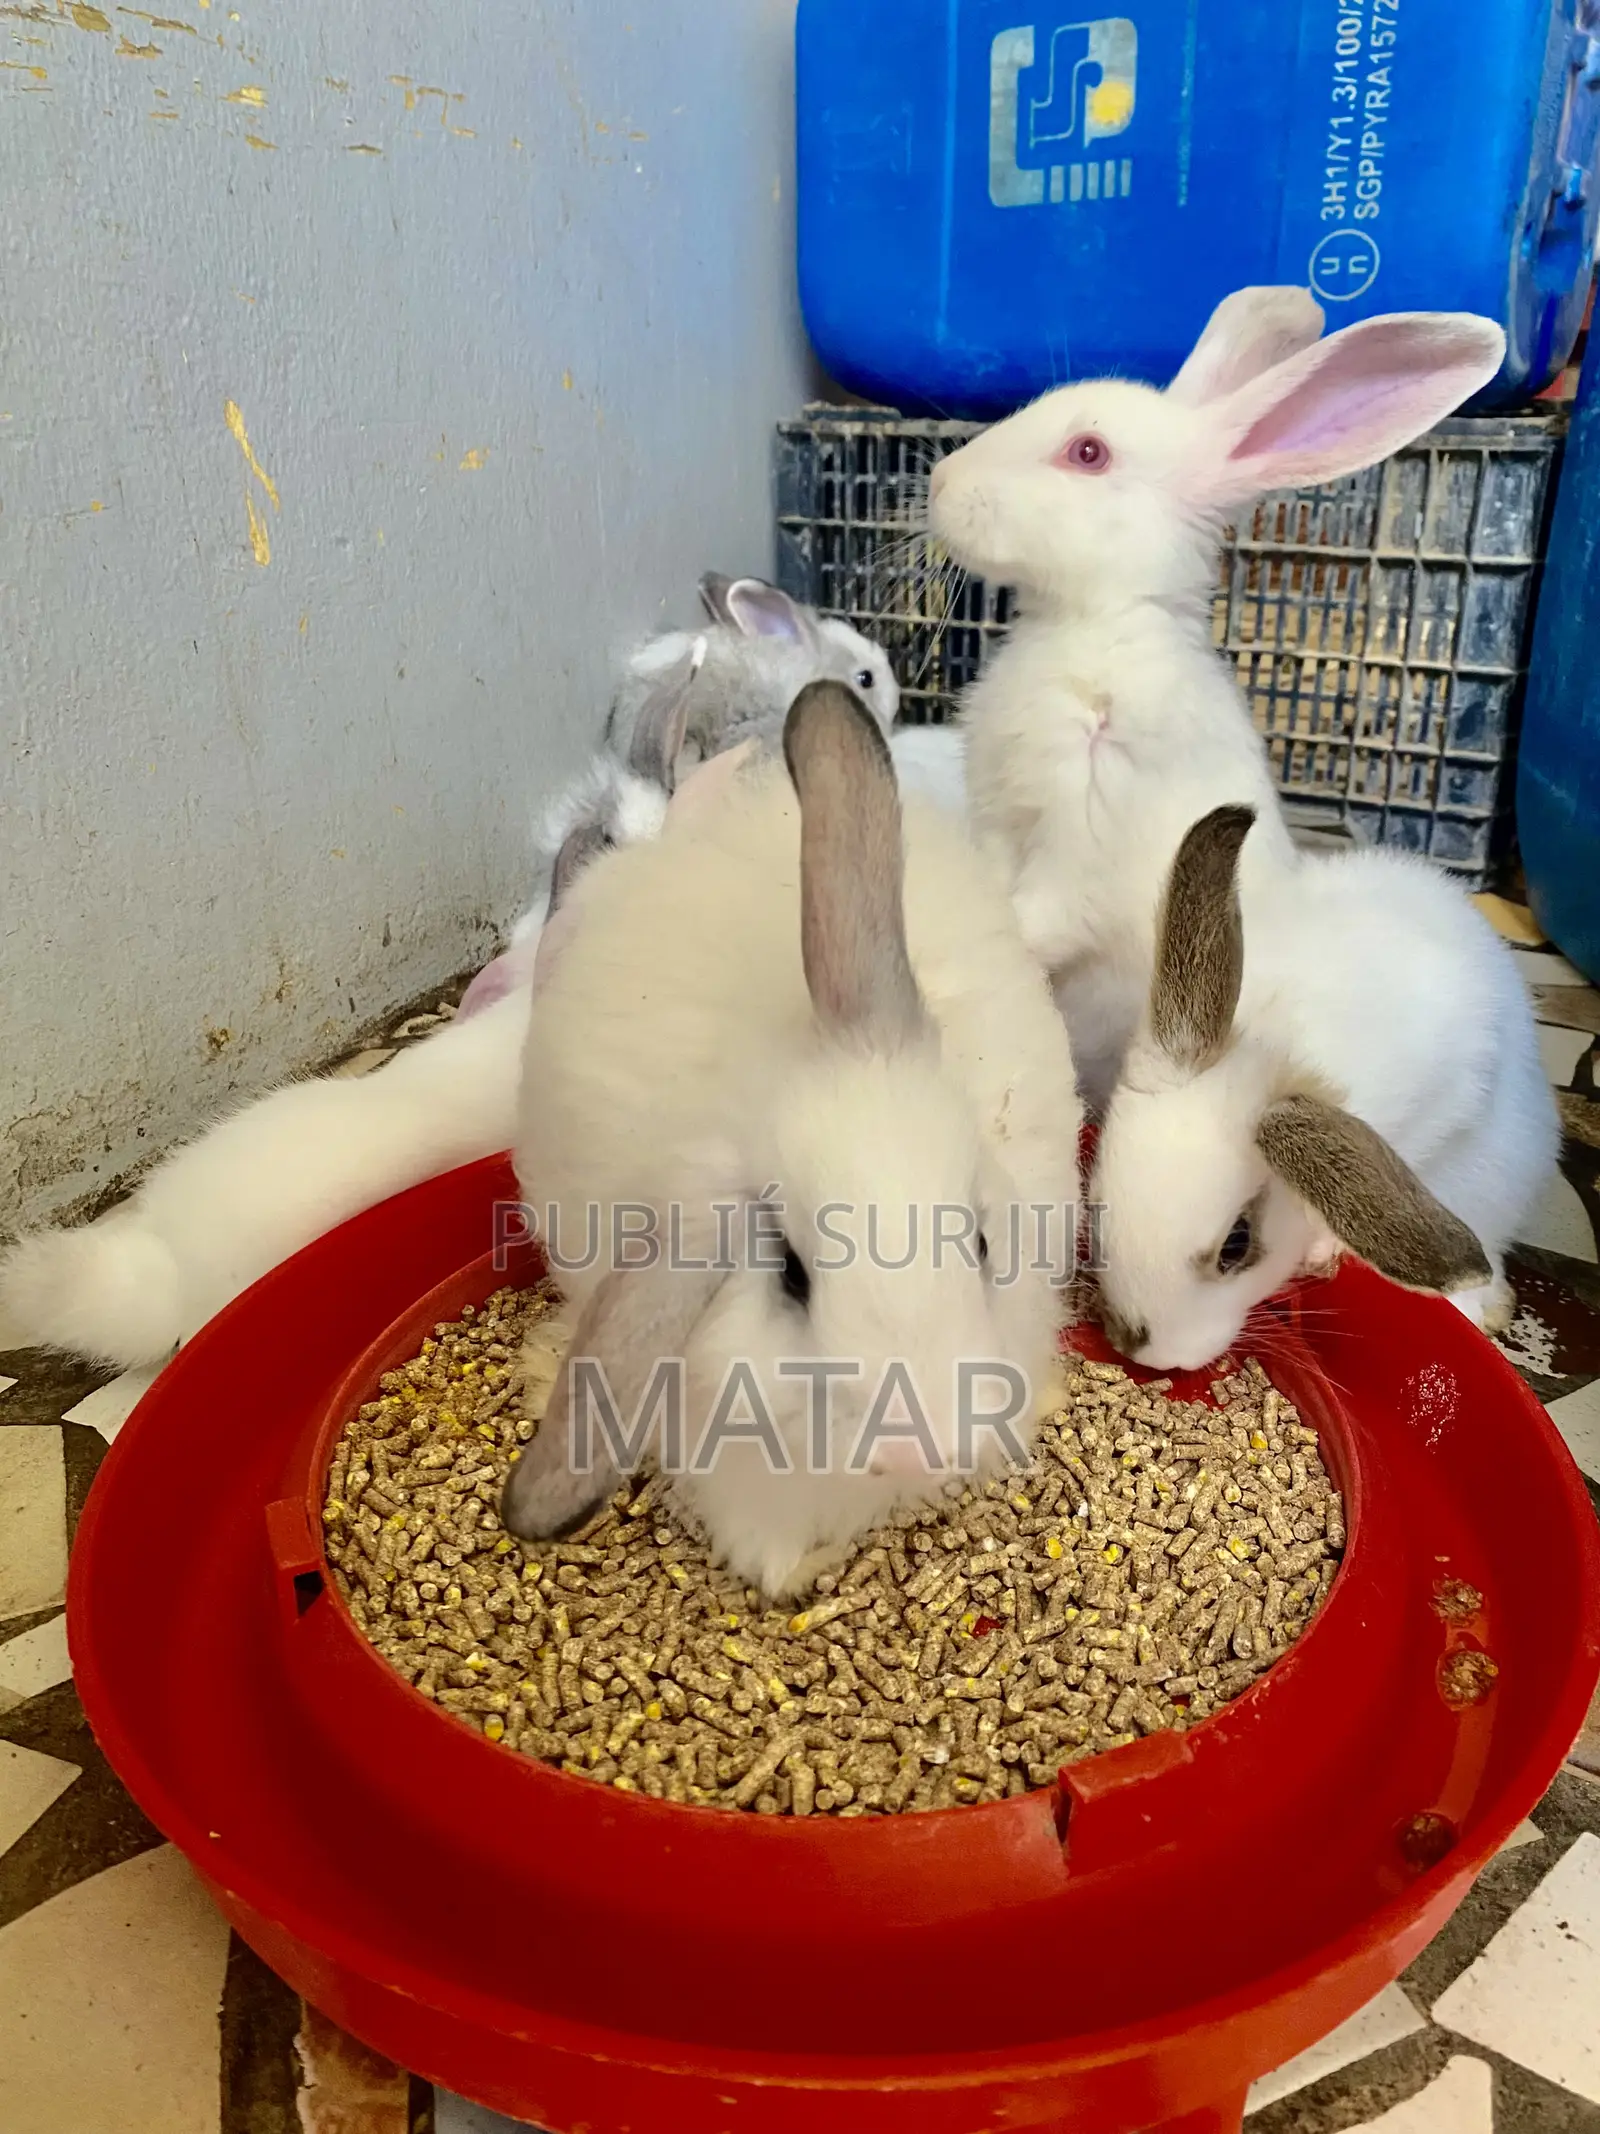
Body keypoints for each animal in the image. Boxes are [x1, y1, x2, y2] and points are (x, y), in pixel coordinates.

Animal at [925, 287, 1509, 1110]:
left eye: (1088, 453)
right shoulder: (1004, 825)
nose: (939, 479)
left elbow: (1042, 915)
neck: (1097, 627)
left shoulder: (1088, 830)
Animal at [1089, 804, 1559, 1374]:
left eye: (1236, 1247)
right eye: (1096, 1199)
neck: (1276, 1045)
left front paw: (1322, 1250)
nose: (1133, 1345)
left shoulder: (1446, 1096)